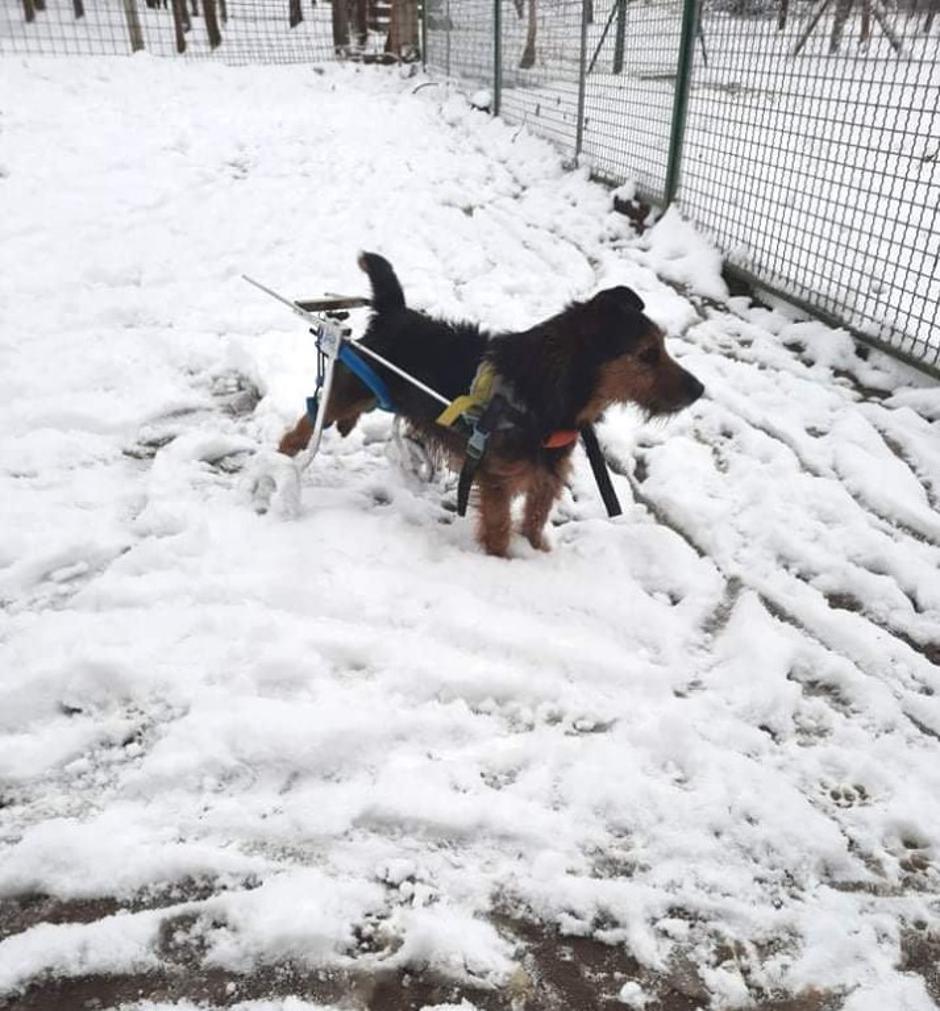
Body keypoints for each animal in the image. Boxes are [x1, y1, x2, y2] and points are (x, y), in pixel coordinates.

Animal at [274, 250, 699, 554]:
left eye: (662, 346)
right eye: (646, 354)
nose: (699, 389)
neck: (546, 390)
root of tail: (396, 312)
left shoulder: (545, 480)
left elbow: (534, 524)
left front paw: (538, 554)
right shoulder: (496, 480)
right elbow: (498, 532)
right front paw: (504, 563)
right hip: (349, 391)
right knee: (306, 425)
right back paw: (281, 462)